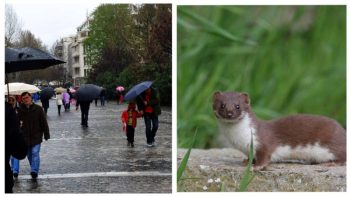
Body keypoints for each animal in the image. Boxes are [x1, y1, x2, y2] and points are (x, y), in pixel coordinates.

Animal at [212, 91, 346, 169]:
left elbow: (265, 157)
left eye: (237, 106)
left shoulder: (262, 142)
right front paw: (247, 162)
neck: (238, 139)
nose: (229, 113)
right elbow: (251, 157)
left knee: (343, 156)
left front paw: (255, 167)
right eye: (222, 105)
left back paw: (330, 163)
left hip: (332, 144)